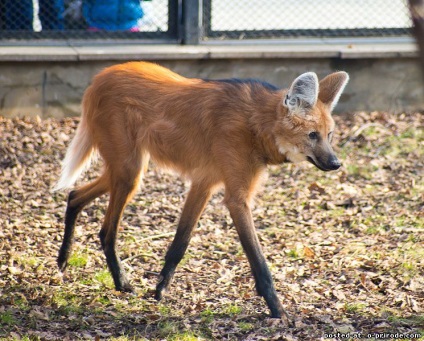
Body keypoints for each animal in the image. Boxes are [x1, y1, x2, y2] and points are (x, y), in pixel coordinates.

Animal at [54, 61, 350, 318]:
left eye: (329, 135)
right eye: (312, 135)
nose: (336, 163)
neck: (256, 124)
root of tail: (99, 77)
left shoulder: (204, 182)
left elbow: (180, 243)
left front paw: (159, 291)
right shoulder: (236, 198)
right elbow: (259, 262)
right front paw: (279, 311)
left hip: (129, 171)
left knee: (75, 195)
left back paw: (63, 260)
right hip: (128, 170)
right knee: (106, 230)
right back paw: (121, 282)